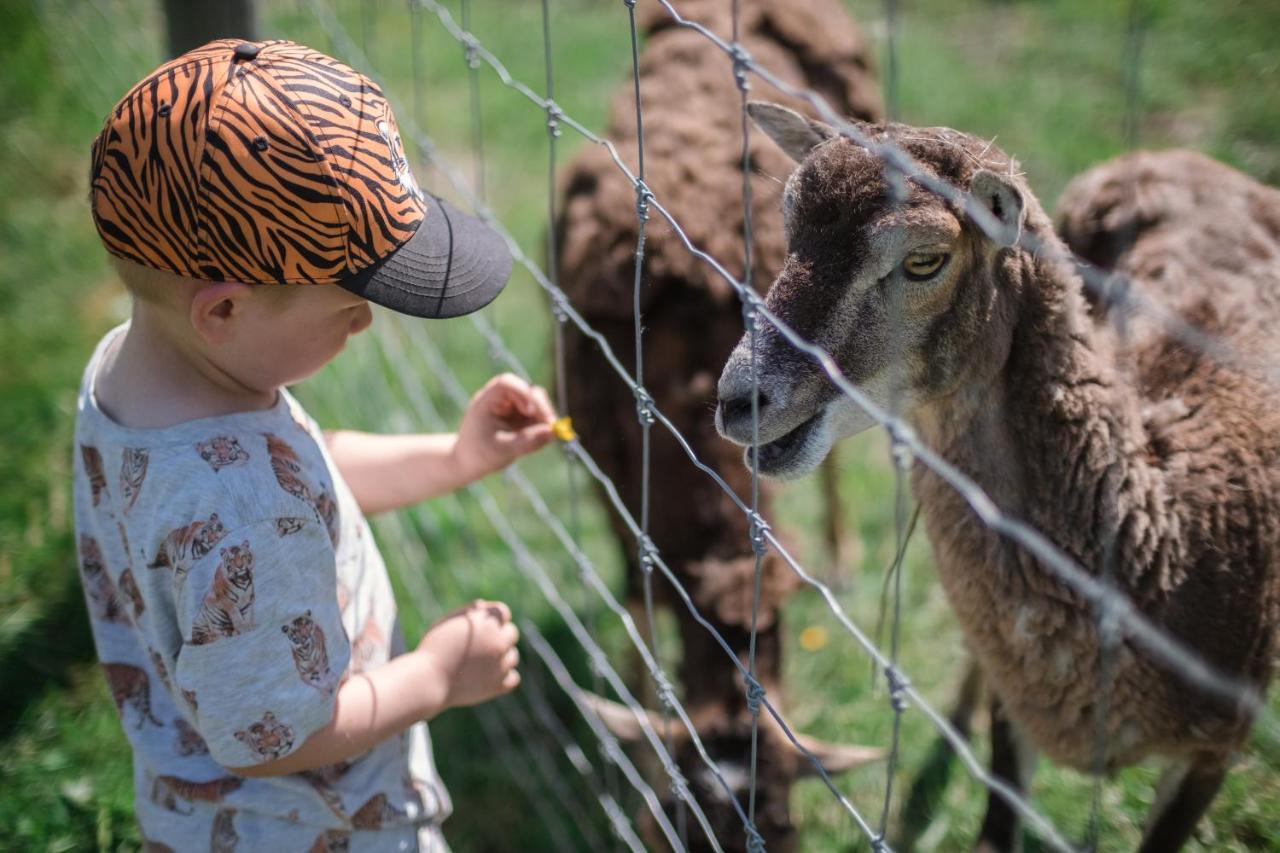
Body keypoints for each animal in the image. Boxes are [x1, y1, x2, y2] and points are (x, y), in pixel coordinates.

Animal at [721, 106, 1280, 850]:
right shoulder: (1015, 712)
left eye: (924, 259)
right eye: (787, 231)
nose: (737, 400)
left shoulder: (1215, 750)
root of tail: (1183, 159)